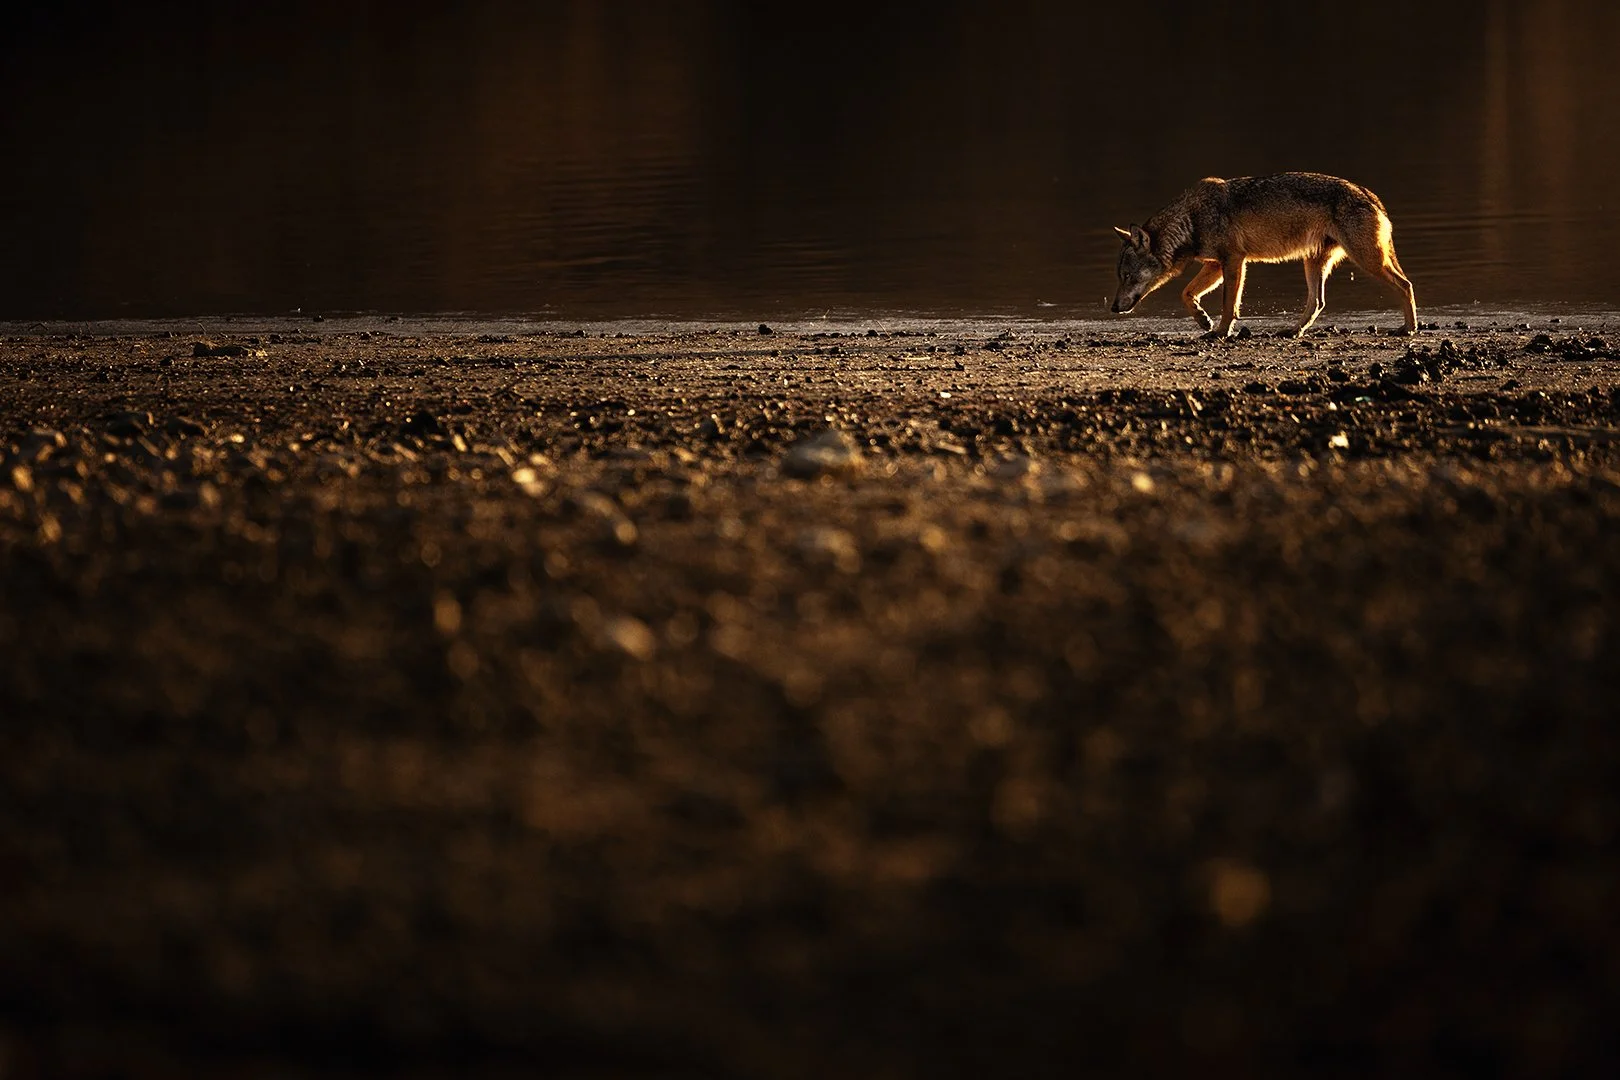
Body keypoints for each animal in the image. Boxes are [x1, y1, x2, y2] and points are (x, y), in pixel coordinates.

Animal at [1109, 172, 1417, 338]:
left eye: (1127, 277)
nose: (1112, 308)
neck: (1190, 220)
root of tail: (1369, 194)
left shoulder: (1234, 261)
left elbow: (1228, 305)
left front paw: (1220, 332)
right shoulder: (1215, 265)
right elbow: (1185, 293)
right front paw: (1202, 320)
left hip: (1368, 261)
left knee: (1406, 285)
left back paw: (1409, 328)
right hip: (1314, 264)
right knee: (1317, 302)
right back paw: (1293, 332)